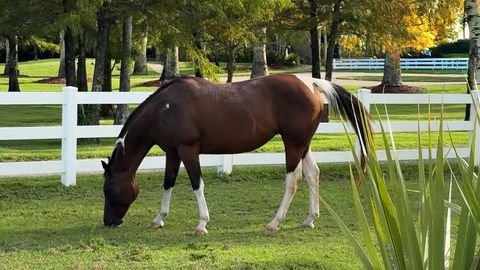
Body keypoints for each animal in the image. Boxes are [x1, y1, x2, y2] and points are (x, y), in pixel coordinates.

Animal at [101, 74, 372, 234]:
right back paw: (309, 219)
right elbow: (168, 183)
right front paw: (159, 218)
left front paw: (202, 223)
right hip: (303, 144)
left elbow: (196, 184)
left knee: (293, 180)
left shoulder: (189, 151)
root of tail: (311, 83)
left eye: (107, 189)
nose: (109, 221)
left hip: (293, 144)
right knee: (314, 175)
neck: (165, 109)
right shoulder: (172, 153)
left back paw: (274, 223)